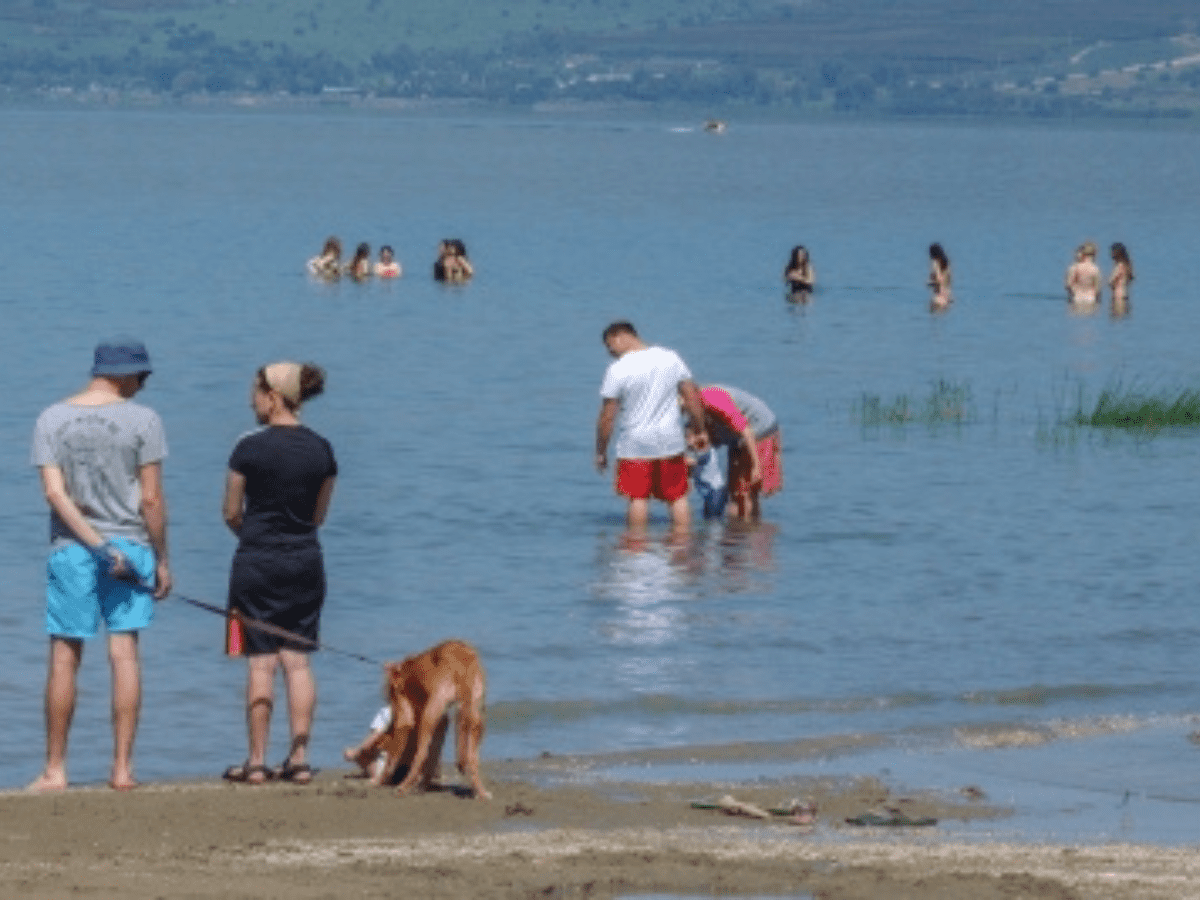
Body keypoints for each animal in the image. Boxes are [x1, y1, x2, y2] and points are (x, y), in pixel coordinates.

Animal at [372, 638, 489, 801]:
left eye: (390, 694)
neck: (407, 671)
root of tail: (462, 659)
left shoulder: (406, 719)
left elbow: (393, 760)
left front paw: (379, 781)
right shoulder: (443, 721)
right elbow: (434, 756)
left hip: (429, 716)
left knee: (420, 755)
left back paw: (404, 787)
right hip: (476, 715)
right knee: (472, 759)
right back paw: (481, 792)